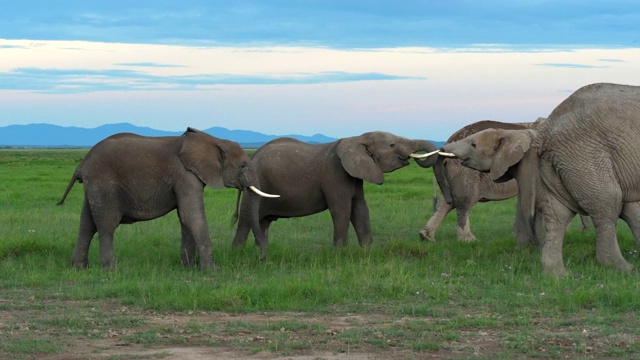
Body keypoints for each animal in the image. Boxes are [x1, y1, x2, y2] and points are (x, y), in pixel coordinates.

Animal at [59, 128, 278, 268]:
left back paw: (79, 267)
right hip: (105, 184)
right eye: (242, 165)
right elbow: (192, 216)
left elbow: (185, 218)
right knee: (107, 225)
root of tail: (83, 163)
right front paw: (212, 270)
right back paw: (111, 269)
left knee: (86, 224)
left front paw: (188, 266)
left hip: (94, 187)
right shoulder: (185, 176)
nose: (260, 259)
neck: (213, 140)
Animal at [232, 131, 442, 258]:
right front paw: (340, 253)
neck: (357, 139)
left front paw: (368, 250)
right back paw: (238, 254)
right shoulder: (335, 175)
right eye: (391, 145)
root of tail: (252, 157)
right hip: (255, 183)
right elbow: (342, 210)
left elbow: (360, 209)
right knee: (245, 220)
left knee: (263, 222)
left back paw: (260, 251)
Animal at [440, 83, 640, 276]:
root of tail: (549, 127)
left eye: (473, 144)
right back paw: (619, 269)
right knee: (604, 205)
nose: (443, 150)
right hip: (583, 155)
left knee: (567, 212)